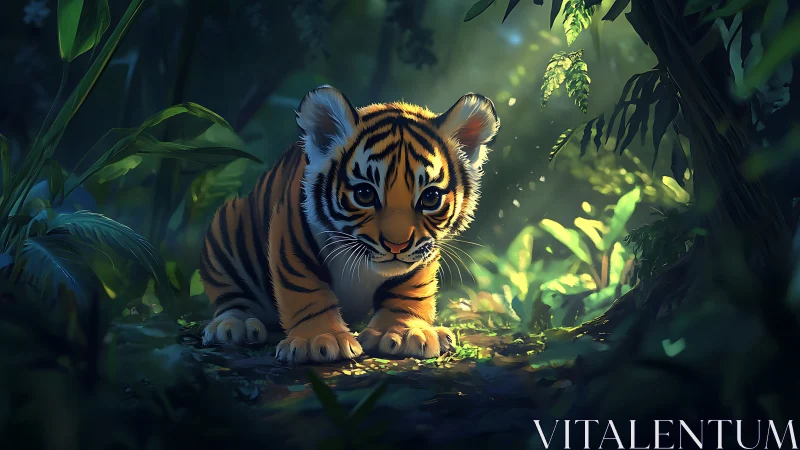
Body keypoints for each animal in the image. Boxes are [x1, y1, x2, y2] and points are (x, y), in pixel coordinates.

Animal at [199, 85, 500, 364]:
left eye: (430, 197)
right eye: (365, 194)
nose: (397, 245)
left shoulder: (423, 253)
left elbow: (410, 290)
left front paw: (404, 333)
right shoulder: (292, 238)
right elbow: (306, 289)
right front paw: (318, 341)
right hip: (225, 226)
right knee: (234, 297)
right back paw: (235, 327)